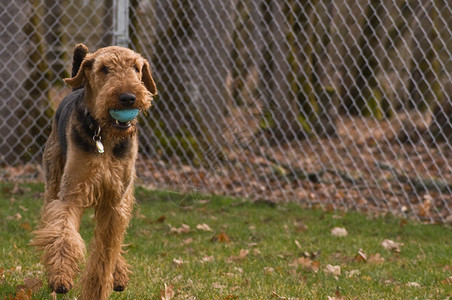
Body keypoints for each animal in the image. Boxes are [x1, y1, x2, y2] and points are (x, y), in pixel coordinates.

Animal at [30, 43, 156, 298]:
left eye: (136, 68)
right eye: (105, 68)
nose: (128, 97)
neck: (105, 136)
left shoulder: (114, 202)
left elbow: (105, 255)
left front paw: (97, 290)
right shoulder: (71, 193)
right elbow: (63, 235)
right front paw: (60, 277)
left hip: (125, 194)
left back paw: (118, 274)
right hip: (54, 180)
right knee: (50, 225)